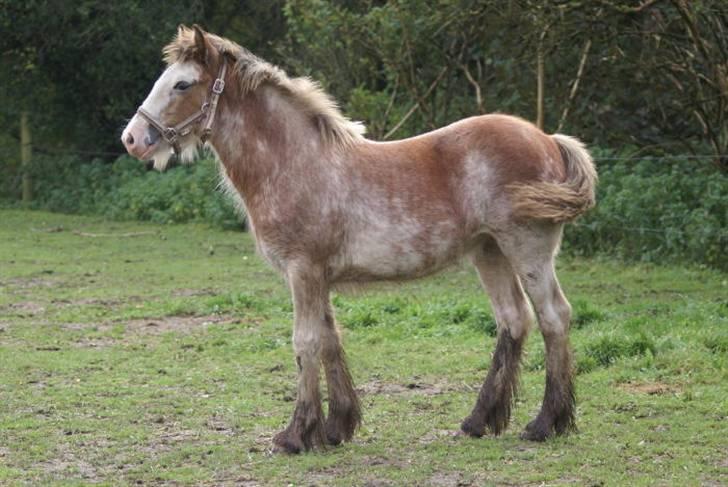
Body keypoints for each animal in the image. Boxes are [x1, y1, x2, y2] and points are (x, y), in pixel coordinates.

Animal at [121, 25, 596, 454]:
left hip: (526, 249)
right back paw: (479, 421)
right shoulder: (318, 277)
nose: (132, 139)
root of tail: (548, 139)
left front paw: (295, 435)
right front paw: (335, 428)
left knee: (553, 316)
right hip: (489, 251)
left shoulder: (302, 271)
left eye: (183, 83)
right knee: (513, 320)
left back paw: (546, 423)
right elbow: (330, 340)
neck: (295, 162)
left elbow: (306, 342)